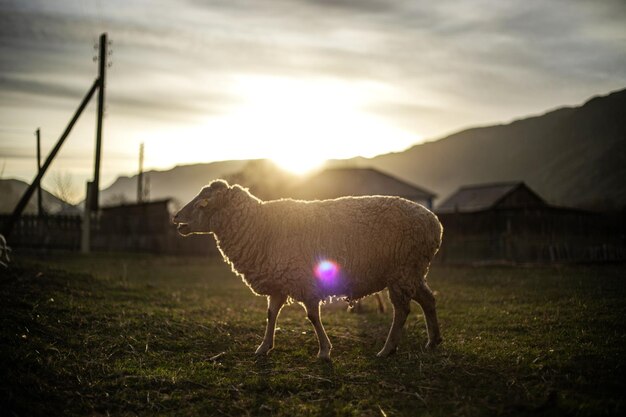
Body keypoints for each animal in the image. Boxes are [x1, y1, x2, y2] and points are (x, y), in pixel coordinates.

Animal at [173, 179, 442, 358]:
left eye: (202, 204)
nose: (176, 218)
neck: (259, 226)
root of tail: (434, 222)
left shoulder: (303, 280)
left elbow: (312, 316)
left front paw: (324, 350)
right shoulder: (279, 282)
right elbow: (271, 314)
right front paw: (264, 347)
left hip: (403, 270)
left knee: (402, 310)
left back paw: (387, 349)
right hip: (412, 272)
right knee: (428, 300)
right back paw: (433, 341)